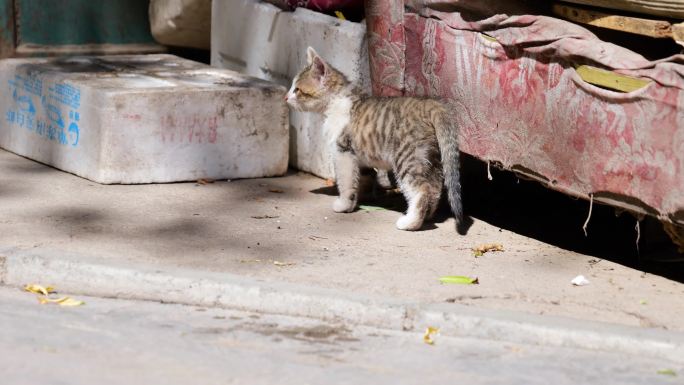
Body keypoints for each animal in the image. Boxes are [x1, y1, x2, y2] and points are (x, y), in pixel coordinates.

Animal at [284, 45, 464, 231]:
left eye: (297, 90)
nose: (285, 97)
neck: (334, 102)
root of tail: (429, 103)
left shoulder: (343, 152)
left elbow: (345, 180)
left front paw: (343, 204)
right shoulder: (358, 156)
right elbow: (361, 179)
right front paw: (356, 200)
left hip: (407, 157)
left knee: (421, 190)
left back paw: (410, 222)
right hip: (431, 158)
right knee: (435, 187)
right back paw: (427, 216)